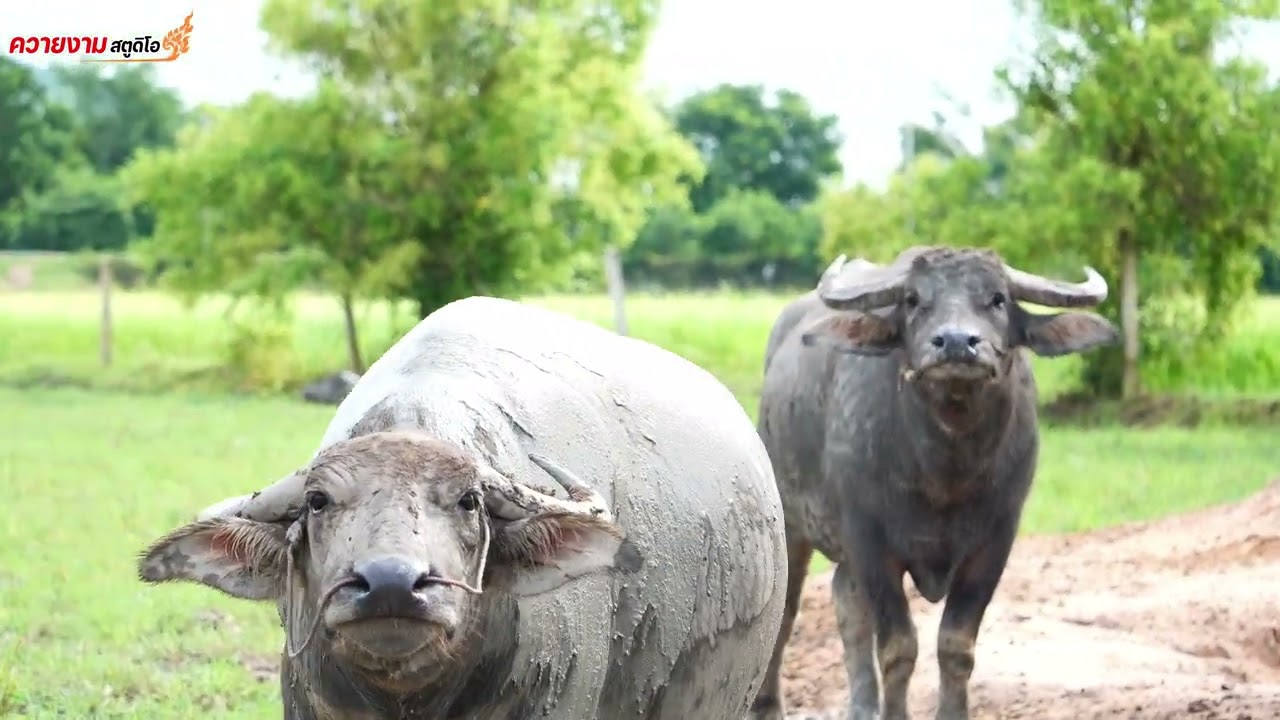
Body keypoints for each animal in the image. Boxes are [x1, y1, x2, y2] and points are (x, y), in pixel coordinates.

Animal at [749, 246, 1119, 720]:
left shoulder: (994, 543)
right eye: (913, 300)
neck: (945, 469)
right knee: (787, 610)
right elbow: (898, 648)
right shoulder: (870, 540)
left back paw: (862, 707)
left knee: (847, 603)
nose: (958, 343)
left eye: (998, 299)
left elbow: (955, 646)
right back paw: (766, 705)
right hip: (791, 522)